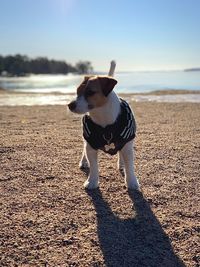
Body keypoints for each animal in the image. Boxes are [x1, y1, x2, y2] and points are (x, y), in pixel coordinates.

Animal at [67, 61, 139, 191]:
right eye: (77, 91)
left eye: (90, 92)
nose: (70, 105)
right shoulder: (90, 146)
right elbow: (94, 166)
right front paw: (92, 182)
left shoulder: (127, 145)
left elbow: (130, 166)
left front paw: (132, 182)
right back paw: (83, 162)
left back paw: (121, 163)